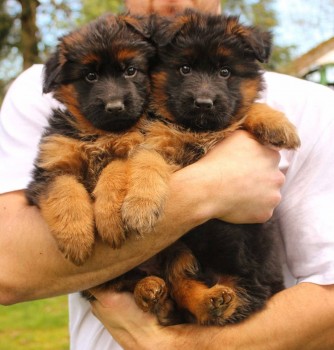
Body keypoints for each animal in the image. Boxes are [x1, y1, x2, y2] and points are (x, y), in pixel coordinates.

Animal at [26, 14, 155, 266]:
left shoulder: (131, 149)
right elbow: (65, 190)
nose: (114, 107)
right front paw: (76, 237)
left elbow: (115, 171)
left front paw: (109, 217)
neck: (100, 134)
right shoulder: (51, 168)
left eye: (131, 70)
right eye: (90, 76)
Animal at [119, 10, 300, 326]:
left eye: (225, 72)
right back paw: (171, 295)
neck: (197, 129)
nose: (204, 103)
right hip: (179, 250)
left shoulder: (227, 119)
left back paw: (212, 301)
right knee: (181, 286)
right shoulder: (155, 139)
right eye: (185, 69)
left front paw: (278, 125)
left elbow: (242, 112)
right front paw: (141, 205)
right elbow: (147, 163)